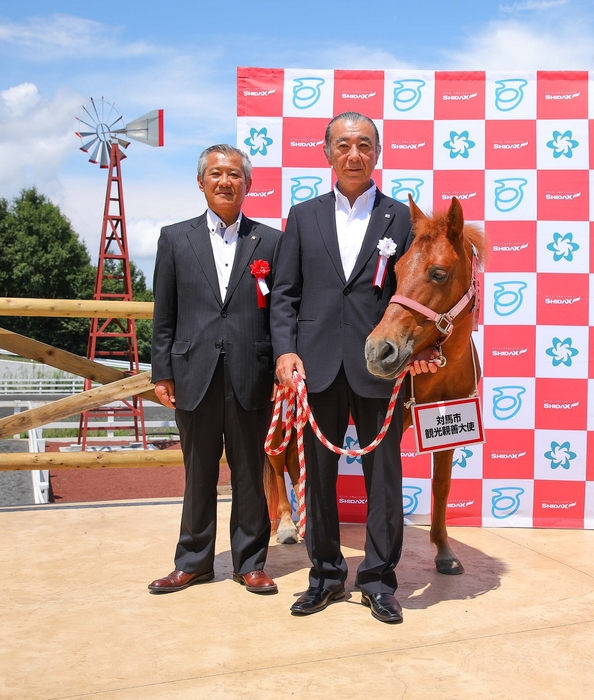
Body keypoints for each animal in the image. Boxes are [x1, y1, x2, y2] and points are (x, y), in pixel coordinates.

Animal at [365, 195, 485, 575]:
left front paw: (444, 550)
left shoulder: (449, 428)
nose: (378, 350)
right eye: (398, 270)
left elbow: (442, 486)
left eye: (438, 273)